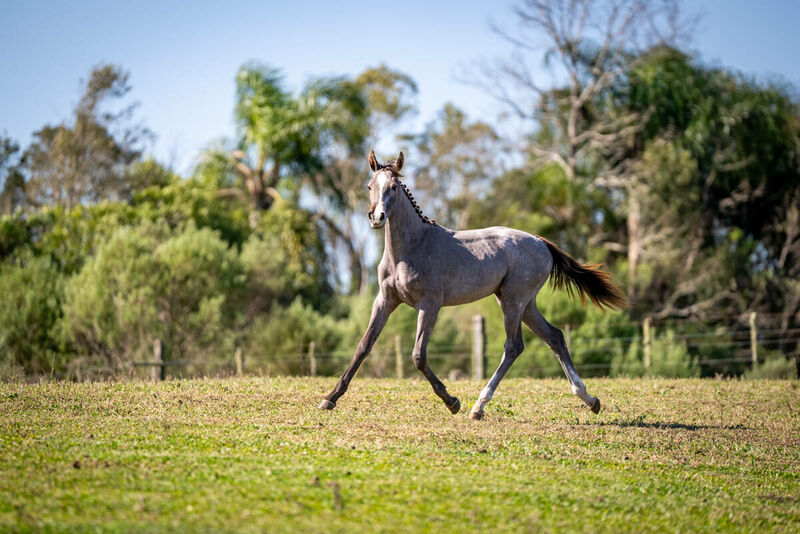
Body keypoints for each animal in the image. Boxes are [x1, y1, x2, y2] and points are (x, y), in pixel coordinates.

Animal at [318, 152, 624, 422]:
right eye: (370, 186)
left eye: (393, 187)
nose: (377, 217)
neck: (411, 248)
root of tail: (540, 241)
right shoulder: (385, 300)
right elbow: (363, 346)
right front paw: (330, 398)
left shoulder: (429, 306)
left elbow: (418, 355)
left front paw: (452, 401)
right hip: (524, 304)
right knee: (555, 337)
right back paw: (589, 400)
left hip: (513, 301)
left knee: (513, 346)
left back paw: (478, 407)